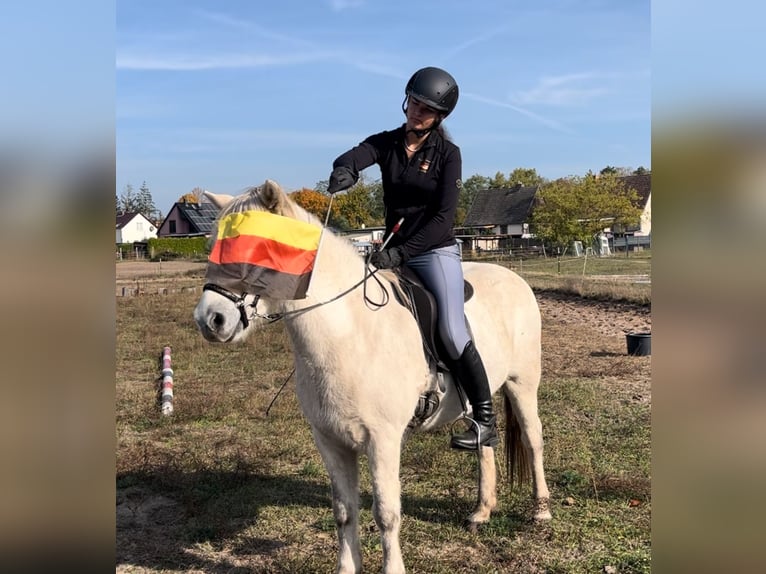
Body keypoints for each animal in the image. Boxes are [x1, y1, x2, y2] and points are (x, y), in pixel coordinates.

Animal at [195, 182, 548, 574]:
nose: (211, 320)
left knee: (533, 439)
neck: (351, 335)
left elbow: (386, 513)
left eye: (261, 247)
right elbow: (344, 512)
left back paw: (540, 510)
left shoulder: (383, 440)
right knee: (484, 444)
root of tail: (514, 278)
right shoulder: (330, 441)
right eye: (213, 245)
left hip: (522, 383)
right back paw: (482, 511)